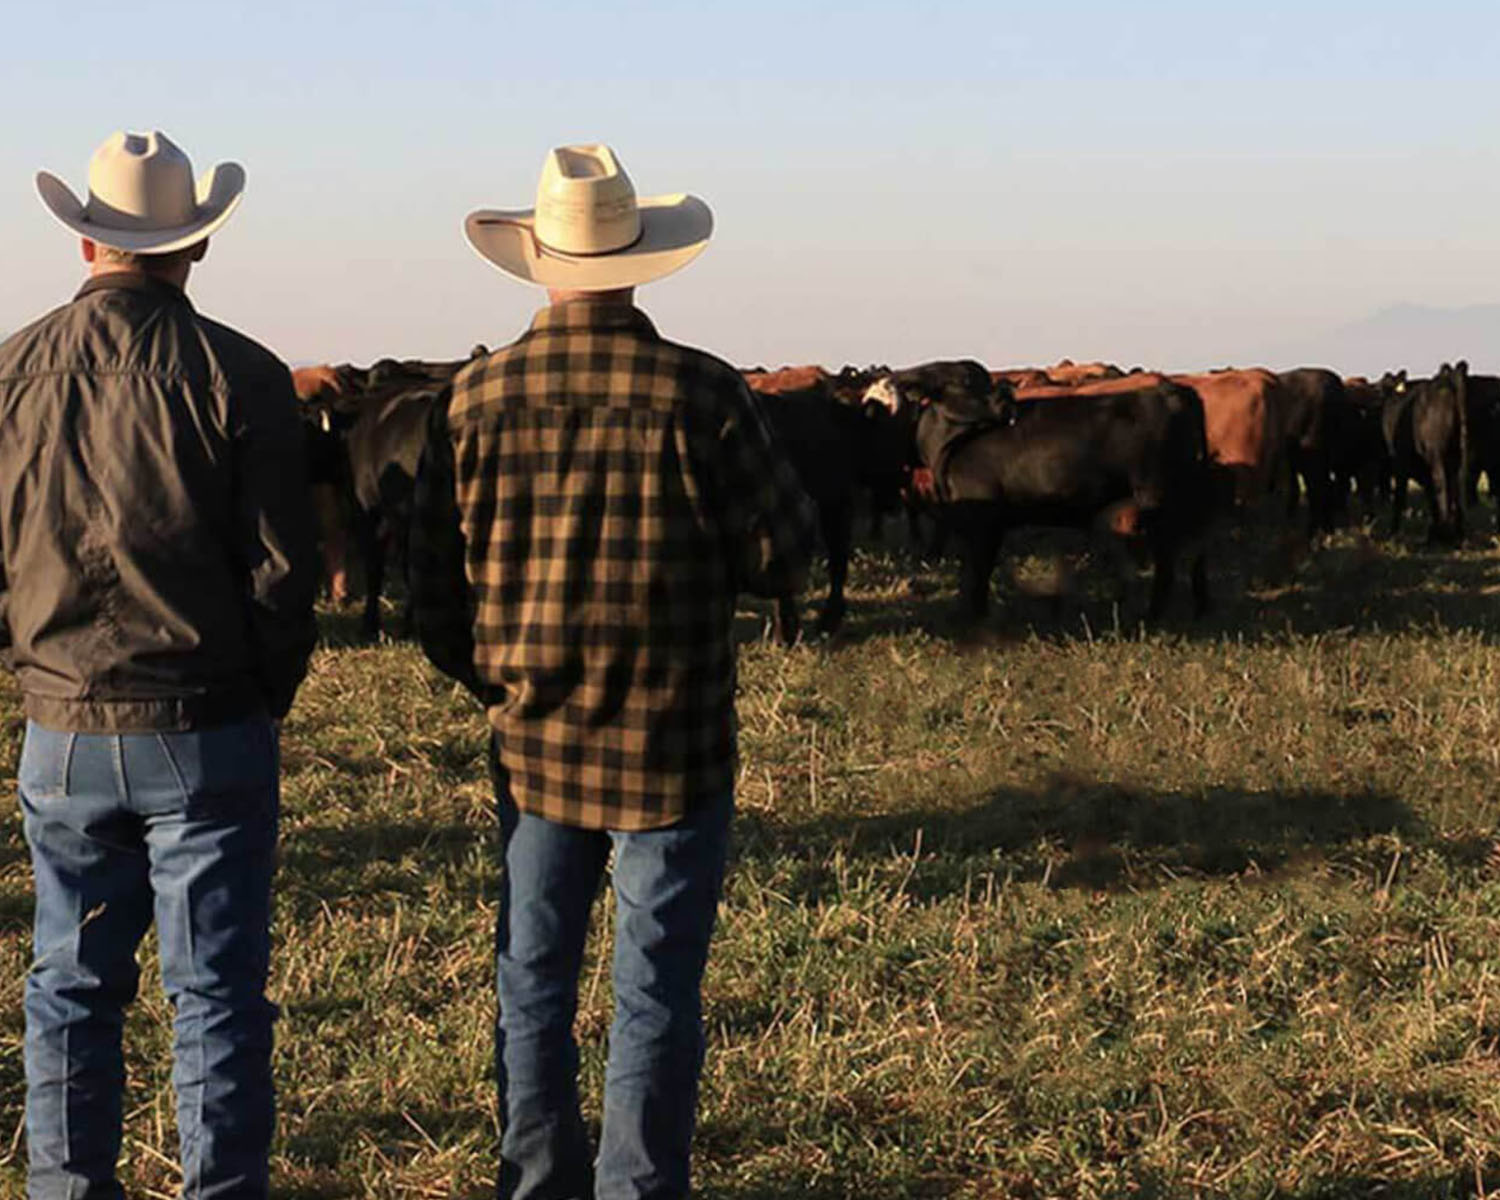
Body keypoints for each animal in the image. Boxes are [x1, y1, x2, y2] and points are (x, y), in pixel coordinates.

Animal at [1380, 358, 1464, 540]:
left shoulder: (1400, 462)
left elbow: (1400, 495)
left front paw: (1393, 531)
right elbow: (1429, 494)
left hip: (1437, 455)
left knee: (1441, 484)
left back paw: (1444, 531)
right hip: (1457, 455)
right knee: (1455, 486)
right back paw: (1458, 532)